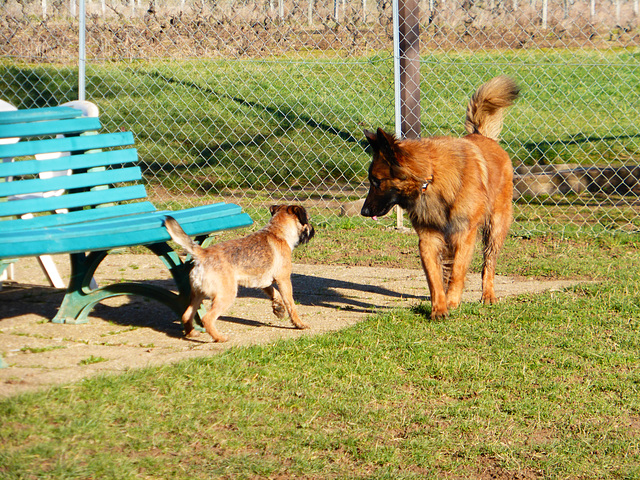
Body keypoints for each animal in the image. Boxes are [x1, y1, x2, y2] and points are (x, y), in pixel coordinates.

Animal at [165, 204, 316, 344]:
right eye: (307, 219)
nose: (314, 230)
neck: (277, 232)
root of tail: (203, 254)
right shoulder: (284, 280)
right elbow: (291, 304)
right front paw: (299, 323)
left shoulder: (263, 281)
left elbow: (274, 292)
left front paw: (278, 307)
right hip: (226, 295)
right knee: (207, 318)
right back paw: (220, 338)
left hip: (198, 294)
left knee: (186, 315)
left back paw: (191, 333)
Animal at [362, 75, 516, 318]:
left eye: (376, 181)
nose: (364, 211)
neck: (431, 179)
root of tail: (482, 135)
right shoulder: (429, 238)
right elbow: (434, 277)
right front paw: (439, 308)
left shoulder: (464, 233)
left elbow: (459, 271)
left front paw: (452, 301)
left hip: (495, 226)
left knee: (488, 263)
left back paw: (488, 295)